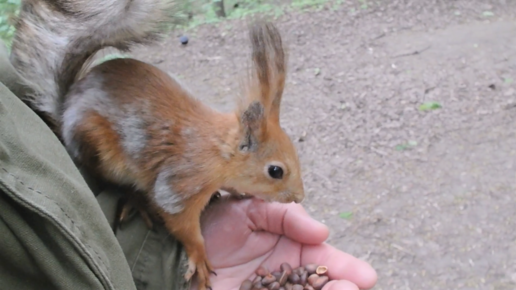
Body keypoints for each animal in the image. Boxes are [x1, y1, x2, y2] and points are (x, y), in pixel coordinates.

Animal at [9, 0, 302, 288]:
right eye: (275, 171)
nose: (299, 198)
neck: (218, 155)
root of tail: (65, 113)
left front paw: (238, 190)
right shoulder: (178, 187)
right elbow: (183, 226)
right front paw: (199, 256)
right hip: (99, 150)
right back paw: (138, 201)